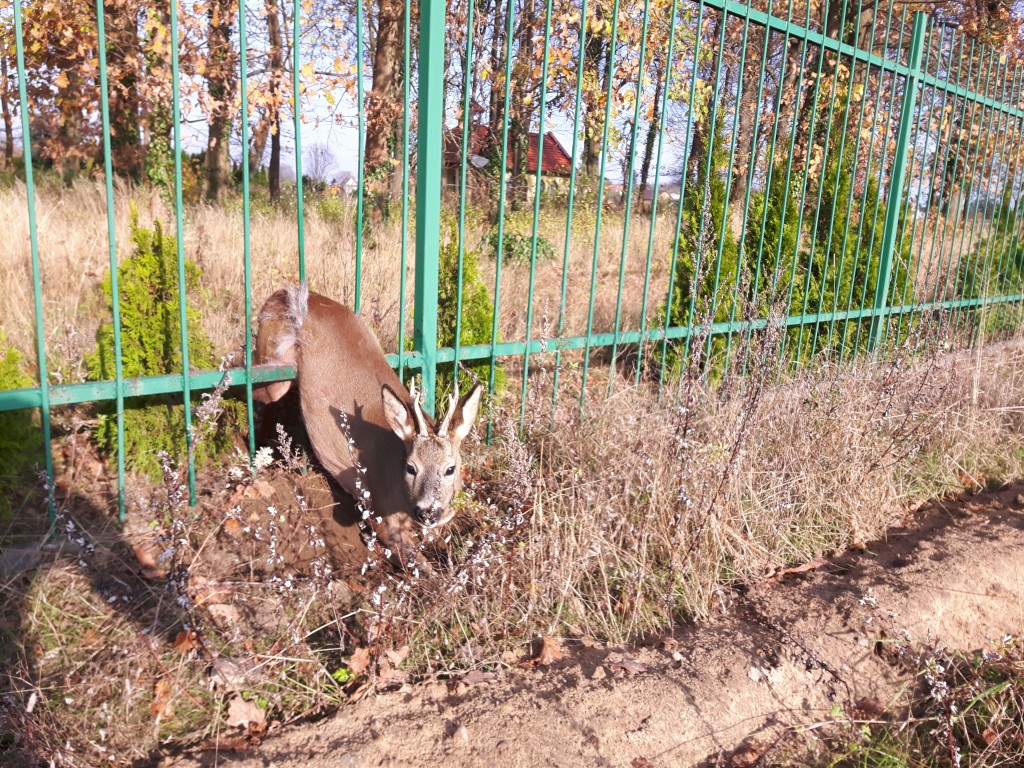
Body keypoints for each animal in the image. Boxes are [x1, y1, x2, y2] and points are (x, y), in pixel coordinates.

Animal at [251, 286, 483, 569]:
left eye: (451, 468)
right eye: (411, 467)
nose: (427, 512)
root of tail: (284, 291)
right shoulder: (380, 516)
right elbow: (420, 564)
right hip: (274, 357)